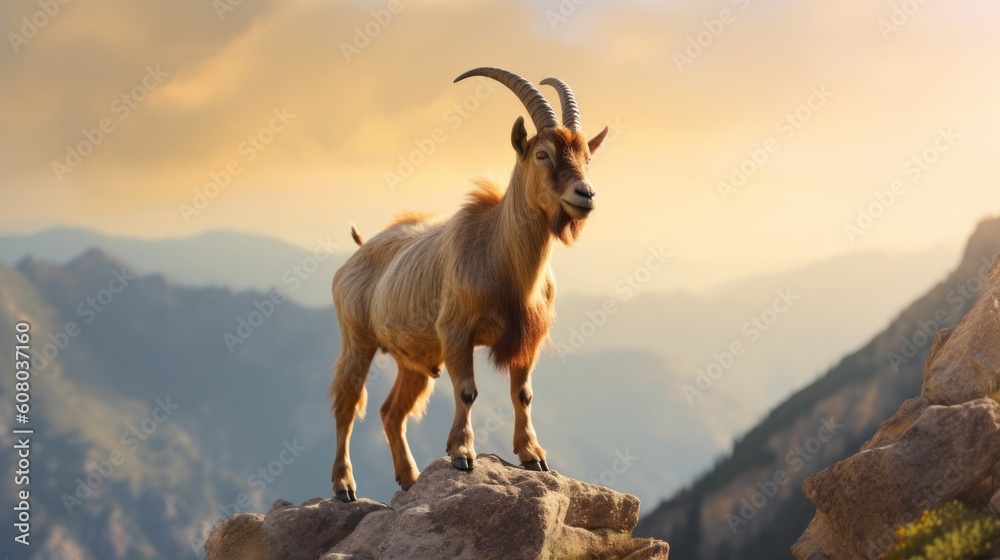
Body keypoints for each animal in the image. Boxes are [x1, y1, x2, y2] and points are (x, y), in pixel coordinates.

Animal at [329, 67, 608, 502]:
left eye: (587, 157)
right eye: (542, 154)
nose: (586, 194)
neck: (500, 256)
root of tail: (357, 252)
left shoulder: (526, 340)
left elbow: (523, 394)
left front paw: (533, 455)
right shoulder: (456, 331)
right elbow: (467, 391)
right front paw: (462, 454)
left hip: (414, 359)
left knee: (391, 412)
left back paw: (410, 480)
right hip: (357, 340)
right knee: (347, 404)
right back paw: (344, 486)